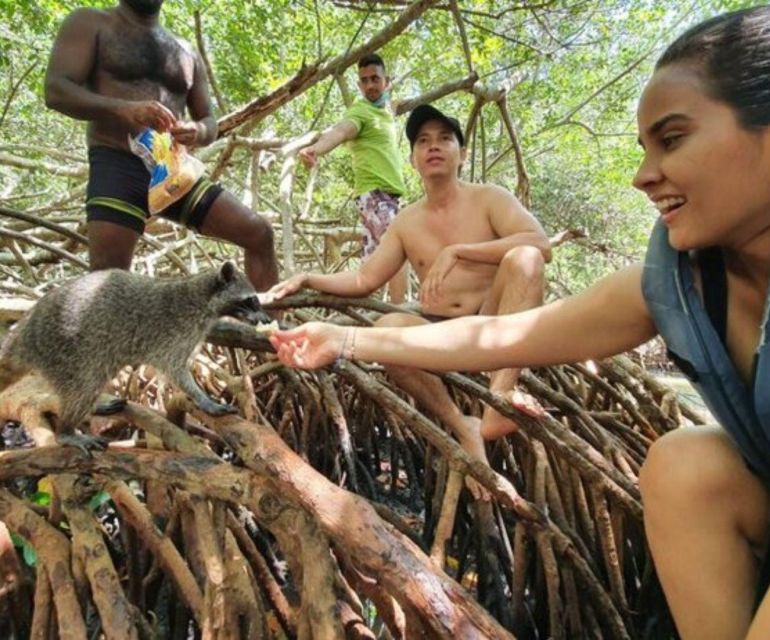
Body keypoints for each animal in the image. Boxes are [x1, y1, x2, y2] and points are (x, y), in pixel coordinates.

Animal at [0, 262, 270, 438]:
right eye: (251, 300)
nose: (267, 319)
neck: (201, 296)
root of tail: (24, 331)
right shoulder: (175, 333)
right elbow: (176, 372)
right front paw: (203, 399)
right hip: (66, 351)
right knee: (84, 385)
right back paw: (66, 430)